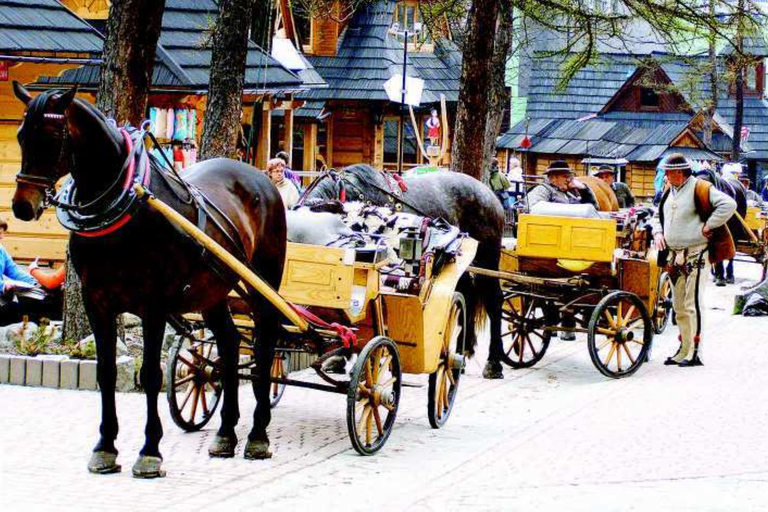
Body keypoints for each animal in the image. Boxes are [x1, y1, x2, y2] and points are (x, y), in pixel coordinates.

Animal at [10, 82, 286, 478]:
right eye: (20, 135)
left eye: (50, 135)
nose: (22, 206)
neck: (128, 205)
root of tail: (260, 176)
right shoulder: (97, 302)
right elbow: (106, 372)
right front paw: (105, 447)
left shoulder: (153, 305)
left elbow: (152, 376)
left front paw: (150, 452)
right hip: (213, 290)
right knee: (231, 343)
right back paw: (225, 433)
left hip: (263, 285)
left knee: (264, 347)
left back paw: (258, 435)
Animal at [302, 166, 510, 378]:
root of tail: (489, 194)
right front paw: (339, 356)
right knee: (467, 296)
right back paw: (464, 351)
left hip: (488, 260)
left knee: (494, 301)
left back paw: (493, 362)